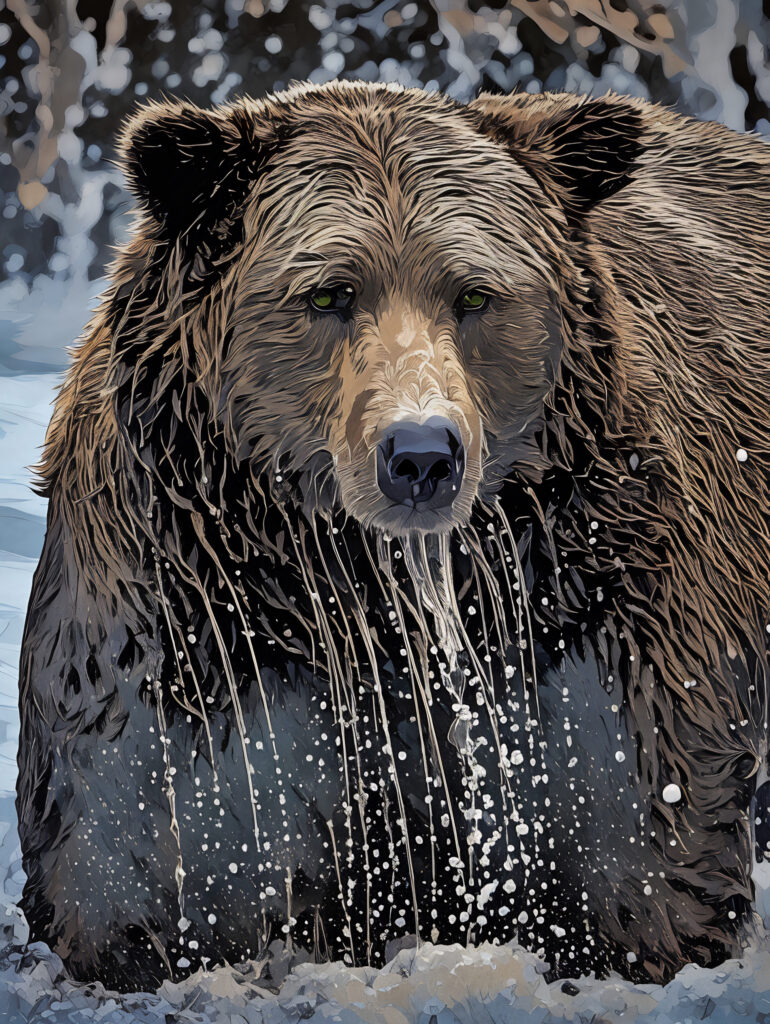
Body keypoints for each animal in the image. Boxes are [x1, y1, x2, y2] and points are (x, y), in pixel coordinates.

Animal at [16, 81, 770, 993]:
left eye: (475, 295)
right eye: (328, 293)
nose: (420, 454)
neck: (368, 594)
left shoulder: (592, 594)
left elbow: (639, 832)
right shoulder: (185, 620)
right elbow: (141, 861)